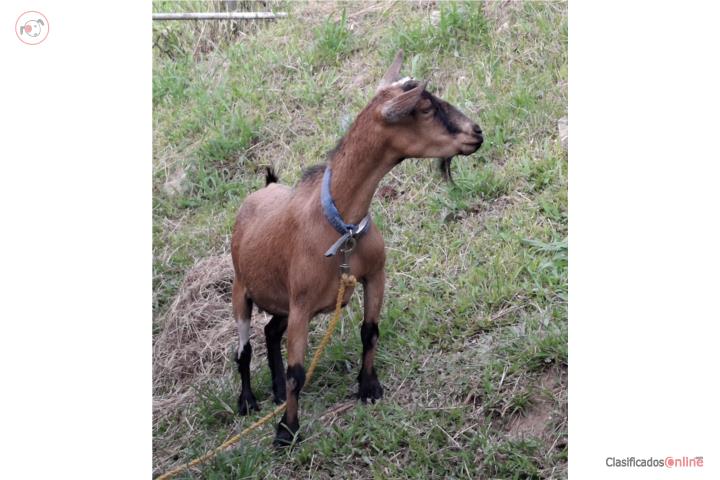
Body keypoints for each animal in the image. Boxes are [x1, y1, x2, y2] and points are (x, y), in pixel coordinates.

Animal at [230, 50, 483, 446]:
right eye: (425, 108)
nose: (477, 132)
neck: (340, 225)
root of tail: (262, 190)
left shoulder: (374, 275)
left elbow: (369, 332)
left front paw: (368, 387)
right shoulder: (301, 305)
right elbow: (297, 371)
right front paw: (286, 430)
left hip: (281, 299)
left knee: (270, 332)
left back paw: (274, 390)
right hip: (241, 289)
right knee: (243, 350)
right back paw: (248, 401)